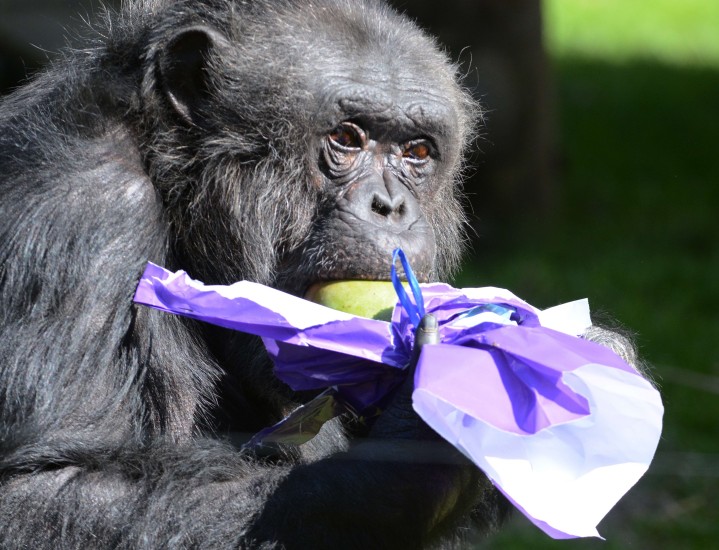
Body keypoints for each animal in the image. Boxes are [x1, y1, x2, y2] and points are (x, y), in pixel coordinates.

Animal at [0, 1, 640, 550]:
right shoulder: (84, 218)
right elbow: (38, 495)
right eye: (346, 138)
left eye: (417, 152)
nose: (391, 206)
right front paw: (434, 430)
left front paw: (588, 354)